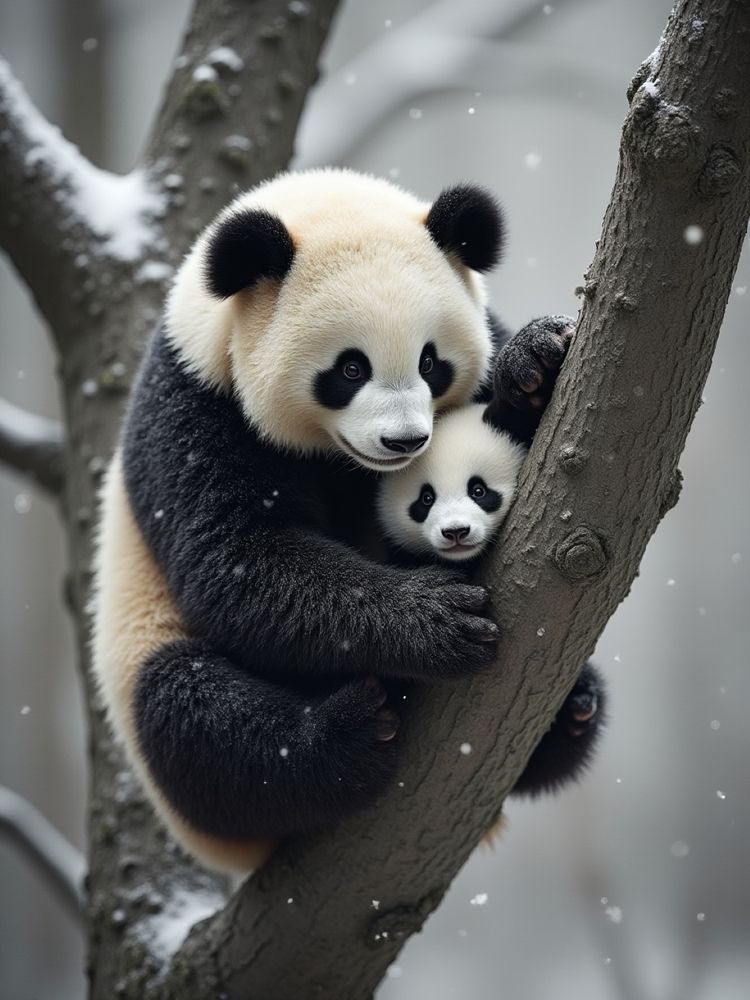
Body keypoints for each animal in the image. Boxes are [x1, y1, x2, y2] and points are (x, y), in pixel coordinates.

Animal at [92, 168, 579, 872]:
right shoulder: (195, 404)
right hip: (153, 696)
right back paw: (350, 733)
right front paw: (437, 618)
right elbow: (236, 561)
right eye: (350, 368)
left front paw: (535, 365)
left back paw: (570, 714)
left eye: (431, 362)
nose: (405, 441)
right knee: (192, 716)